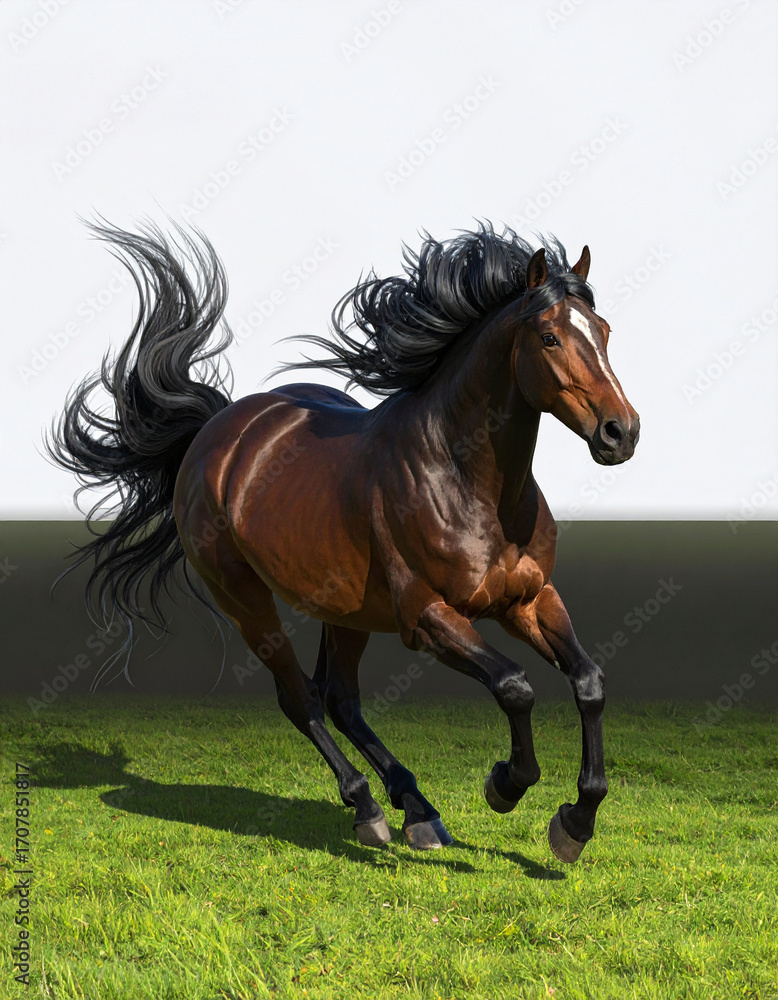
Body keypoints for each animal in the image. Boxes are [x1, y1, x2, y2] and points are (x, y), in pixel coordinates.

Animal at [48, 220, 639, 862]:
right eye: (550, 337)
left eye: (604, 331)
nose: (621, 432)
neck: (466, 481)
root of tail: (218, 431)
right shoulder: (427, 616)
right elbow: (514, 686)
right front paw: (506, 785)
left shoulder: (528, 600)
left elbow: (589, 682)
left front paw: (575, 822)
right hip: (246, 602)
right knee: (302, 699)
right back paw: (368, 808)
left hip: (347, 611)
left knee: (341, 700)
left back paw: (419, 810)